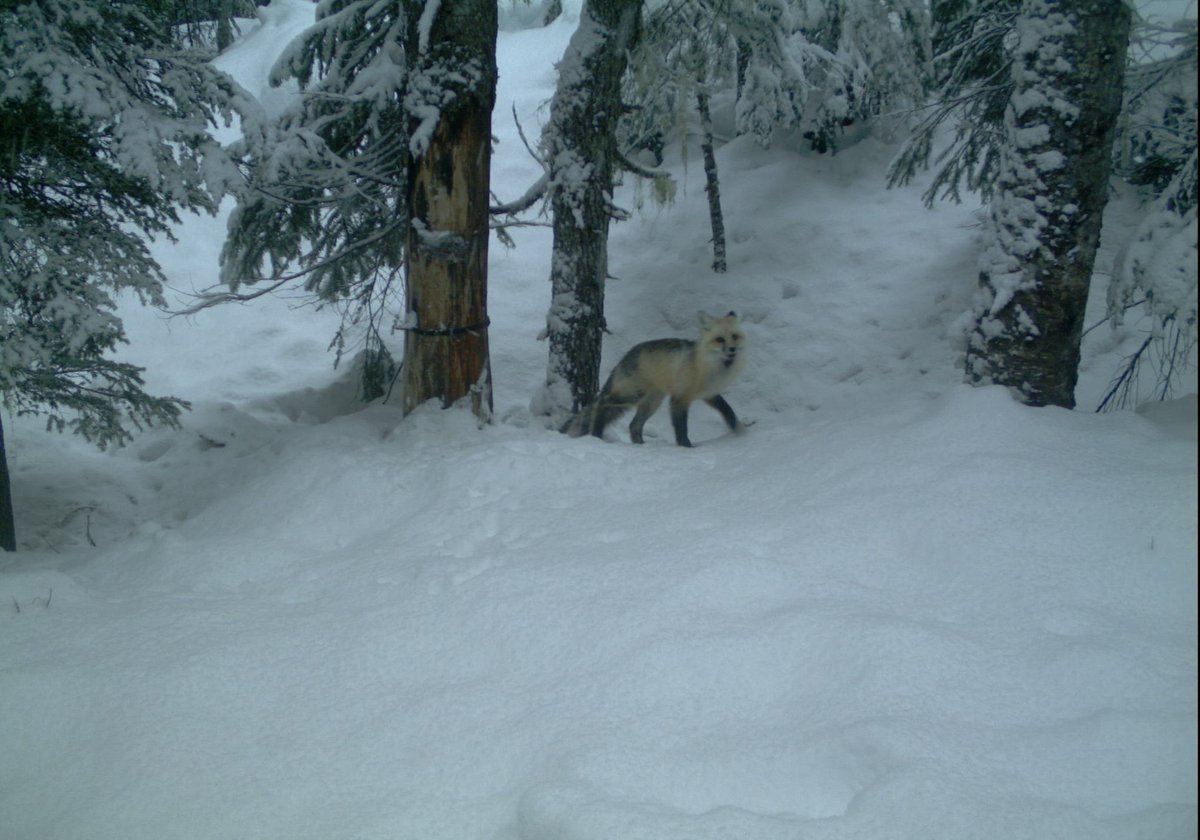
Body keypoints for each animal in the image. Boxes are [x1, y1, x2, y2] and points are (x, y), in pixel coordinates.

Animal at [565, 311, 748, 447]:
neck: (707, 368)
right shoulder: (679, 399)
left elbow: (728, 410)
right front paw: (686, 447)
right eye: (720, 339)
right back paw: (596, 434)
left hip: (651, 402)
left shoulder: (709, 394)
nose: (732, 349)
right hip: (632, 395)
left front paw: (739, 430)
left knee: (634, 425)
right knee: (602, 404)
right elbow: (681, 429)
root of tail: (626, 356)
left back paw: (640, 445)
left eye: (734, 336)